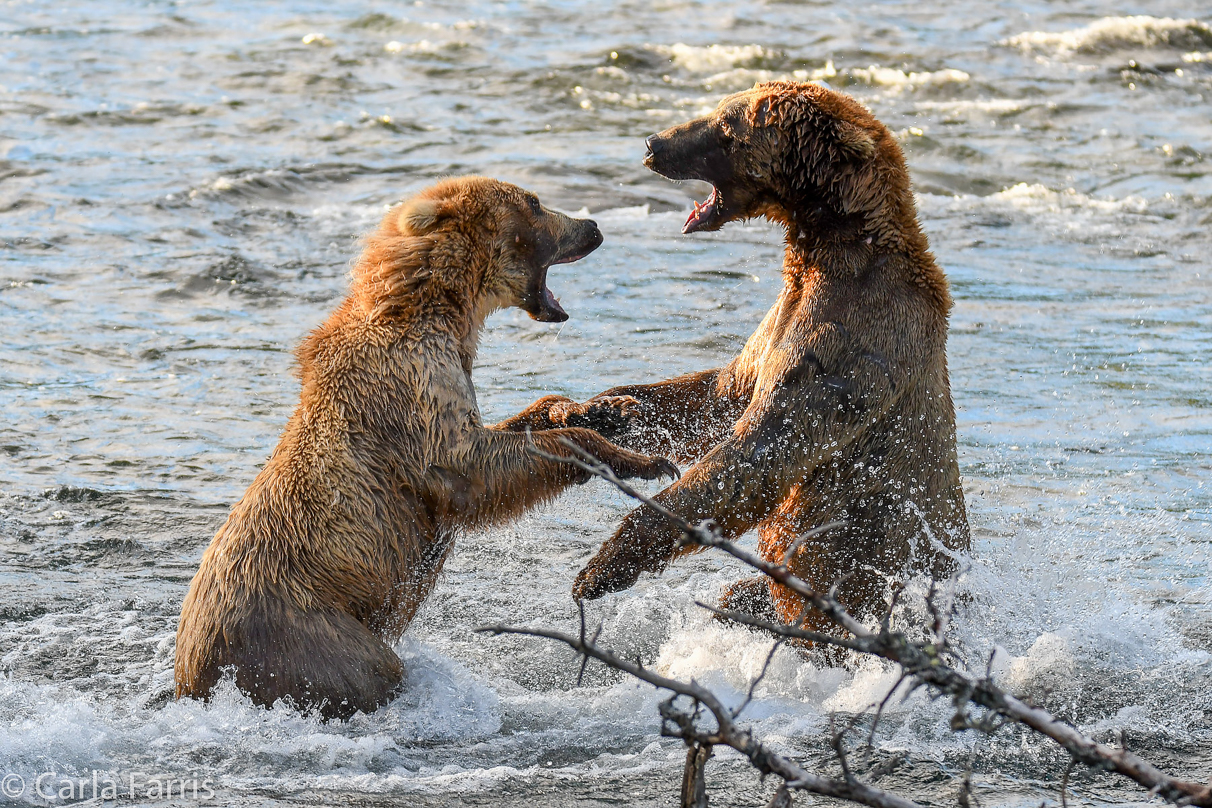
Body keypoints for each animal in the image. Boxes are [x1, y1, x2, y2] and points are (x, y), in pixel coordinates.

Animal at [569, 83, 974, 639]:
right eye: (721, 108)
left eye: (726, 126)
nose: (654, 143)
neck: (826, 248)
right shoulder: (778, 325)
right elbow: (718, 395)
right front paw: (600, 409)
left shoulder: (848, 343)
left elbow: (757, 452)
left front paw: (601, 566)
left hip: (869, 575)